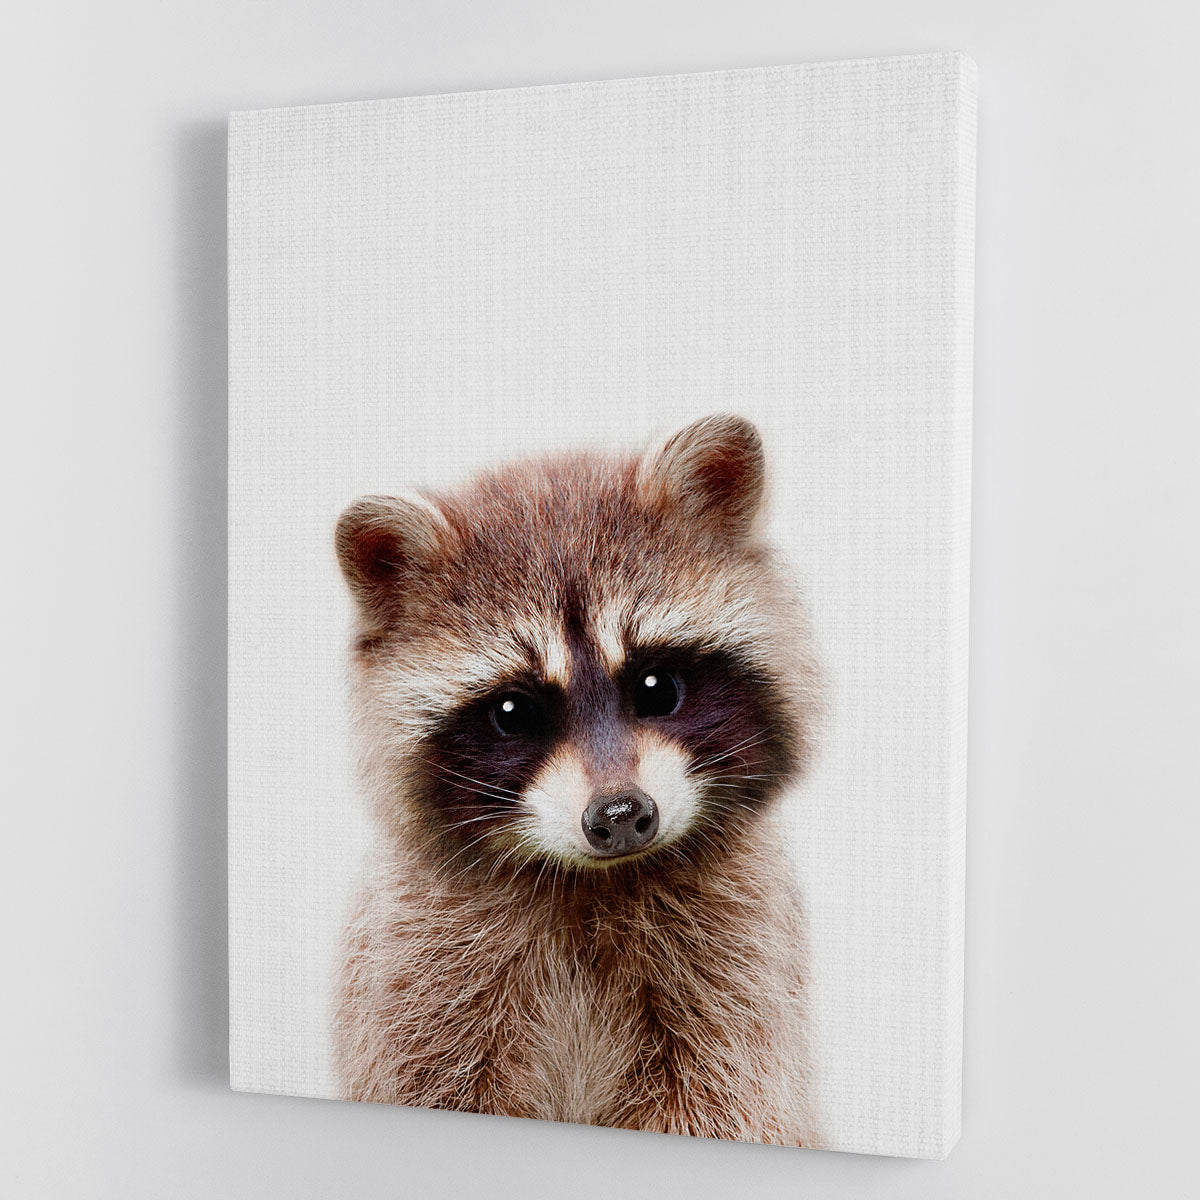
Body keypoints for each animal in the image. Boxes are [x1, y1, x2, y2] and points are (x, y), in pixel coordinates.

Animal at [332, 413, 821, 1146]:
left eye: (656, 686)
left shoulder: (739, 965)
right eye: (513, 712)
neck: (592, 881)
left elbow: (726, 1099)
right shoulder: (417, 972)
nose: (620, 815)